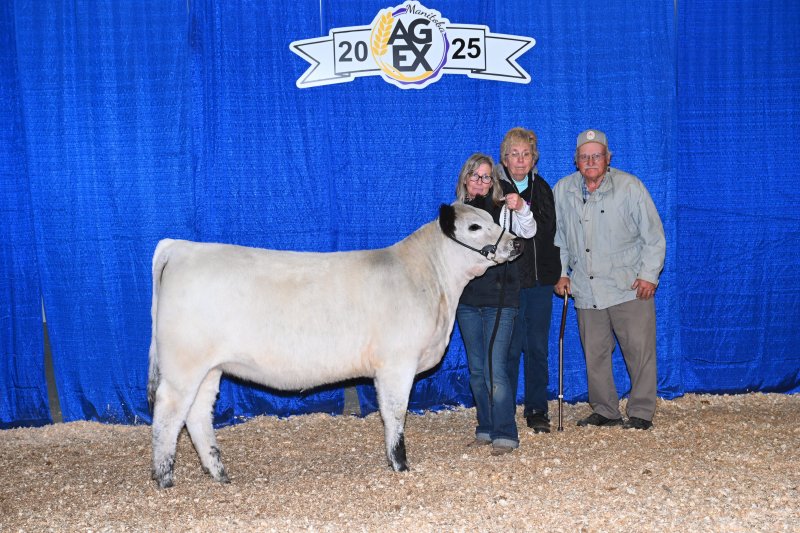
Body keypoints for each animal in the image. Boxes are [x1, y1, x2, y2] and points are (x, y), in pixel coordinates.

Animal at [148, 203, 522, 488]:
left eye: (493, 218)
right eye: (475, 226)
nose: (517, 244)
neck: (431, 281)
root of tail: (181, 247)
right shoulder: (397, 363)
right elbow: (395, 413)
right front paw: (400, 464)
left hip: (209, 367)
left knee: (197, 414)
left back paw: (219, 474)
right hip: (184, 363)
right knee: (169, 412)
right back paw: (164, 478)